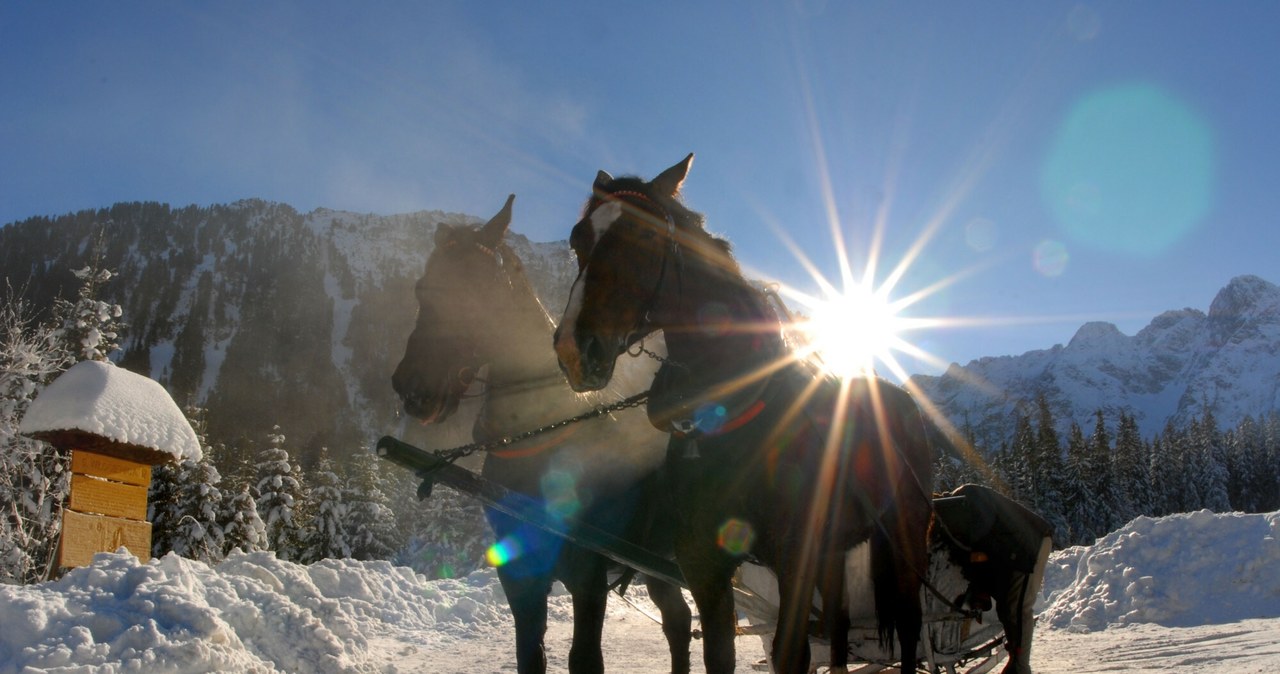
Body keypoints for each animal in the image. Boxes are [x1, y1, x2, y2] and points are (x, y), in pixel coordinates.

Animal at [389, 196, 691, 674]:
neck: (539, 442)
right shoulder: (520, 577)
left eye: (475, 291)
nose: (412, 387)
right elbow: (530, 656)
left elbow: (584, 659)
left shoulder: (588, 579)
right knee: (678, 620)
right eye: (422, 288)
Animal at [555, 155, 936, 670]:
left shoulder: (794, 557)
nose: (574, 350)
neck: (729, 418)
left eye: (646, 236)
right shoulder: (703, 563)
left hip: (907, 539)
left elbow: (789, 653)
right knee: (838, 622)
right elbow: (719, 654)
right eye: (578, 239)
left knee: (911, 624)